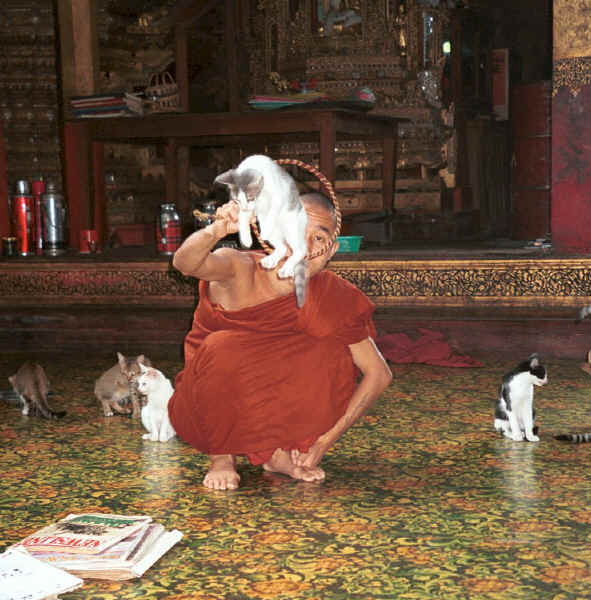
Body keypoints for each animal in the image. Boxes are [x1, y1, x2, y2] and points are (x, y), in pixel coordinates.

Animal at [216, 152, 310, 308]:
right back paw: (271, 260)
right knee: (283, 248)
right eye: (236, 200)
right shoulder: (246, 209)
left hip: (292, 225)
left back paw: (286, 268)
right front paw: (246, 238)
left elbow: (273, 209)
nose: (245, 206)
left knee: (300, 250)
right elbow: (242, 218)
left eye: (250, 197)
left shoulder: (278, 196)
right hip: (277, 235)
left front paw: (265, 227)